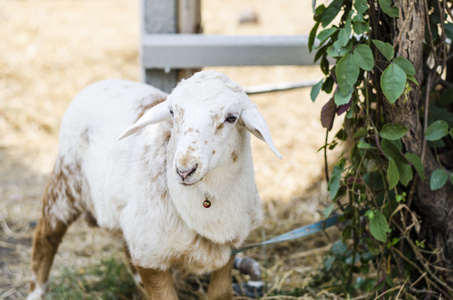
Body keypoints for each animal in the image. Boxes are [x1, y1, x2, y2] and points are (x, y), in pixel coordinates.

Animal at [27, 69, 278, 298]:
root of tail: (98, 83)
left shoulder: (229, 247)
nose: (184, 170)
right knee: (45, 239)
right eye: (172, 112)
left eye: (232, 117)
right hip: (65, 181)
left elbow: (220, 293)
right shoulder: (150, 256)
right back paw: (36, 291)